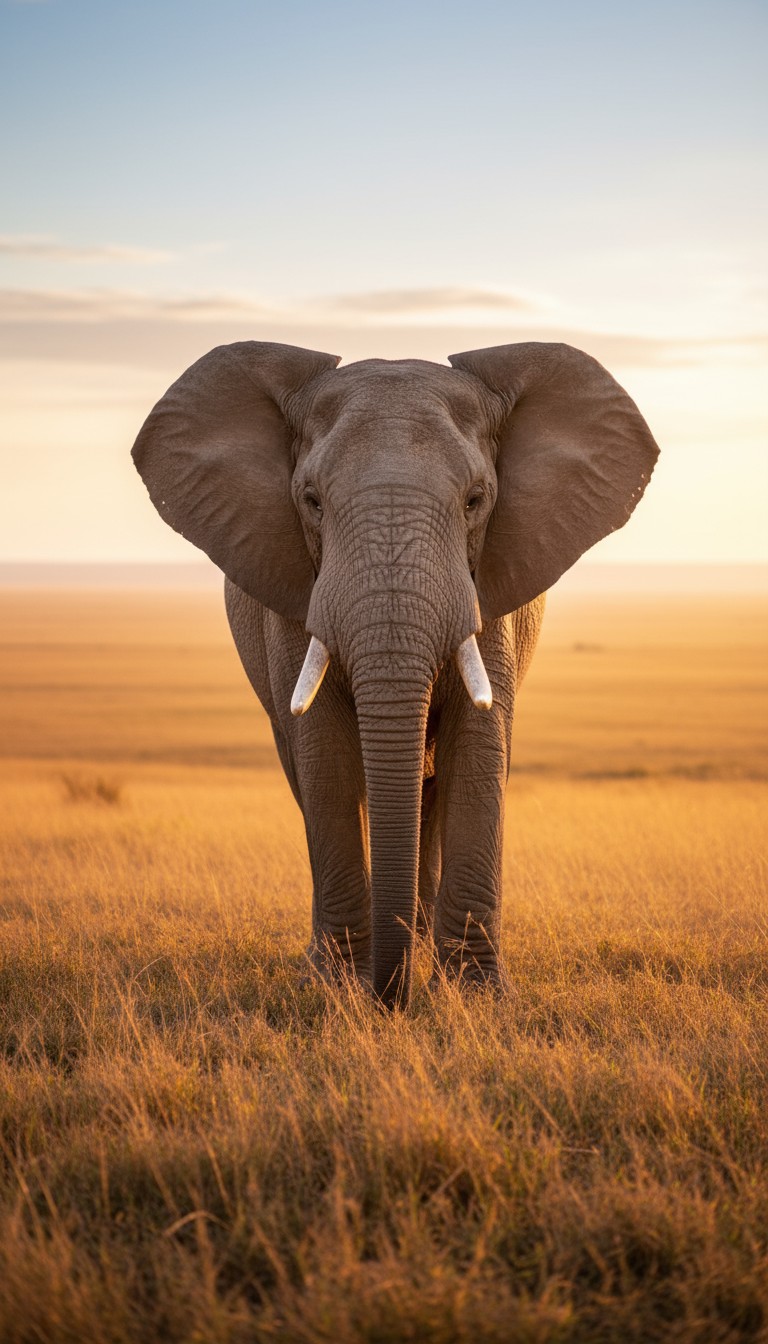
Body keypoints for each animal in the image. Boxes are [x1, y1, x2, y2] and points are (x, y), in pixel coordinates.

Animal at [131, 340, 658, 1009]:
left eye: (476, 500)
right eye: (311, 500)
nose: (394, 999)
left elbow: (479, 749)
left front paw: (478, 1002)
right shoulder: (295, 591)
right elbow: (325, 759)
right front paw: (336, 992)